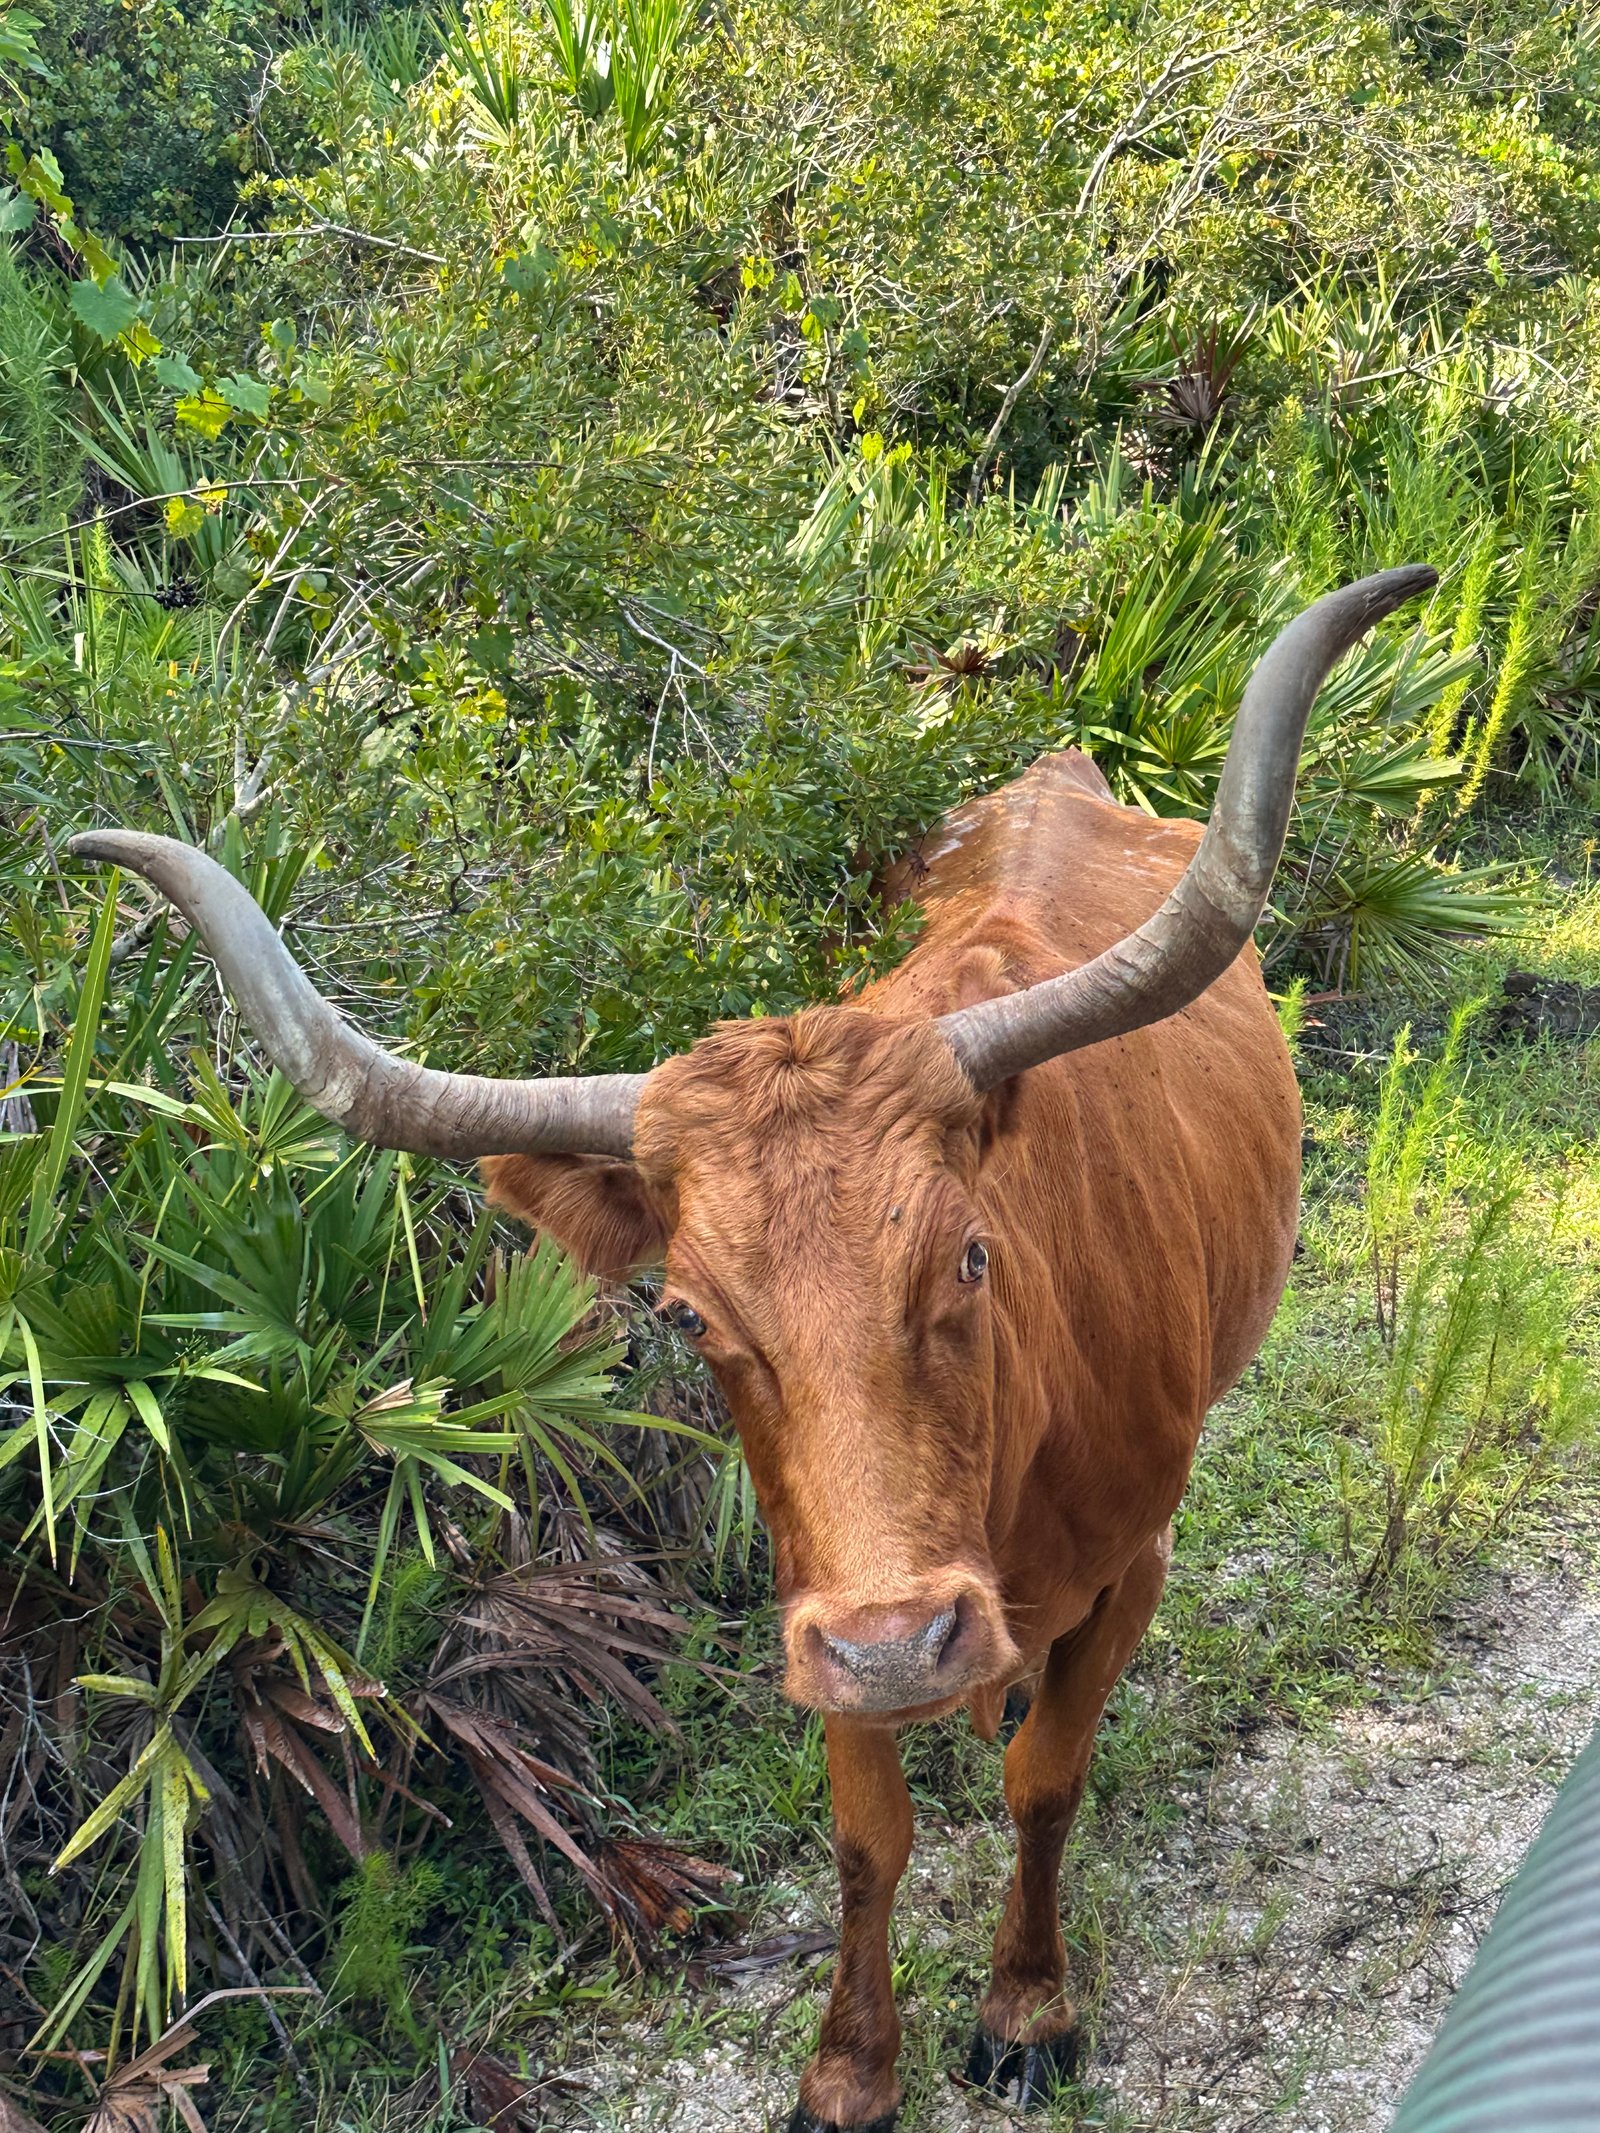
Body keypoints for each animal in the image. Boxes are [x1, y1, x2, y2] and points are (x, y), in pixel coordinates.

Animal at [71, 566, 1434, 2130]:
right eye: (688, 1315)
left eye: (971, 1254)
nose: (910, 1648)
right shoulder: (820, 1600)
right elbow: (867, 1836)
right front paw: (850, 2065)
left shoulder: (1129, 1560)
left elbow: (1045, 1781)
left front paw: (1028, 2007)